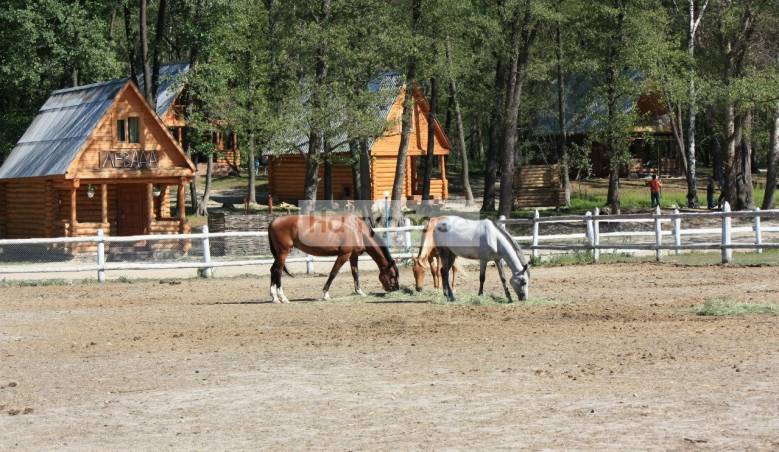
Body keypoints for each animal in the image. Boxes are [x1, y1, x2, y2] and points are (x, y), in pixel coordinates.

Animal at [270, 215, 402, 304]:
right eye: (392, 275)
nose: (396, 289)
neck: (357, 229)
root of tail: (274, 221)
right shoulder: (344, 255)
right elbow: (333, 273)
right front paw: (326, 294)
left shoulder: (353, 256)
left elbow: (355, 273)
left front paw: (360, 292)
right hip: (283, 252)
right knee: (278, 271)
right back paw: (282, 297)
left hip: (279, 254)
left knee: (273, 270)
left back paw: (274, 297)